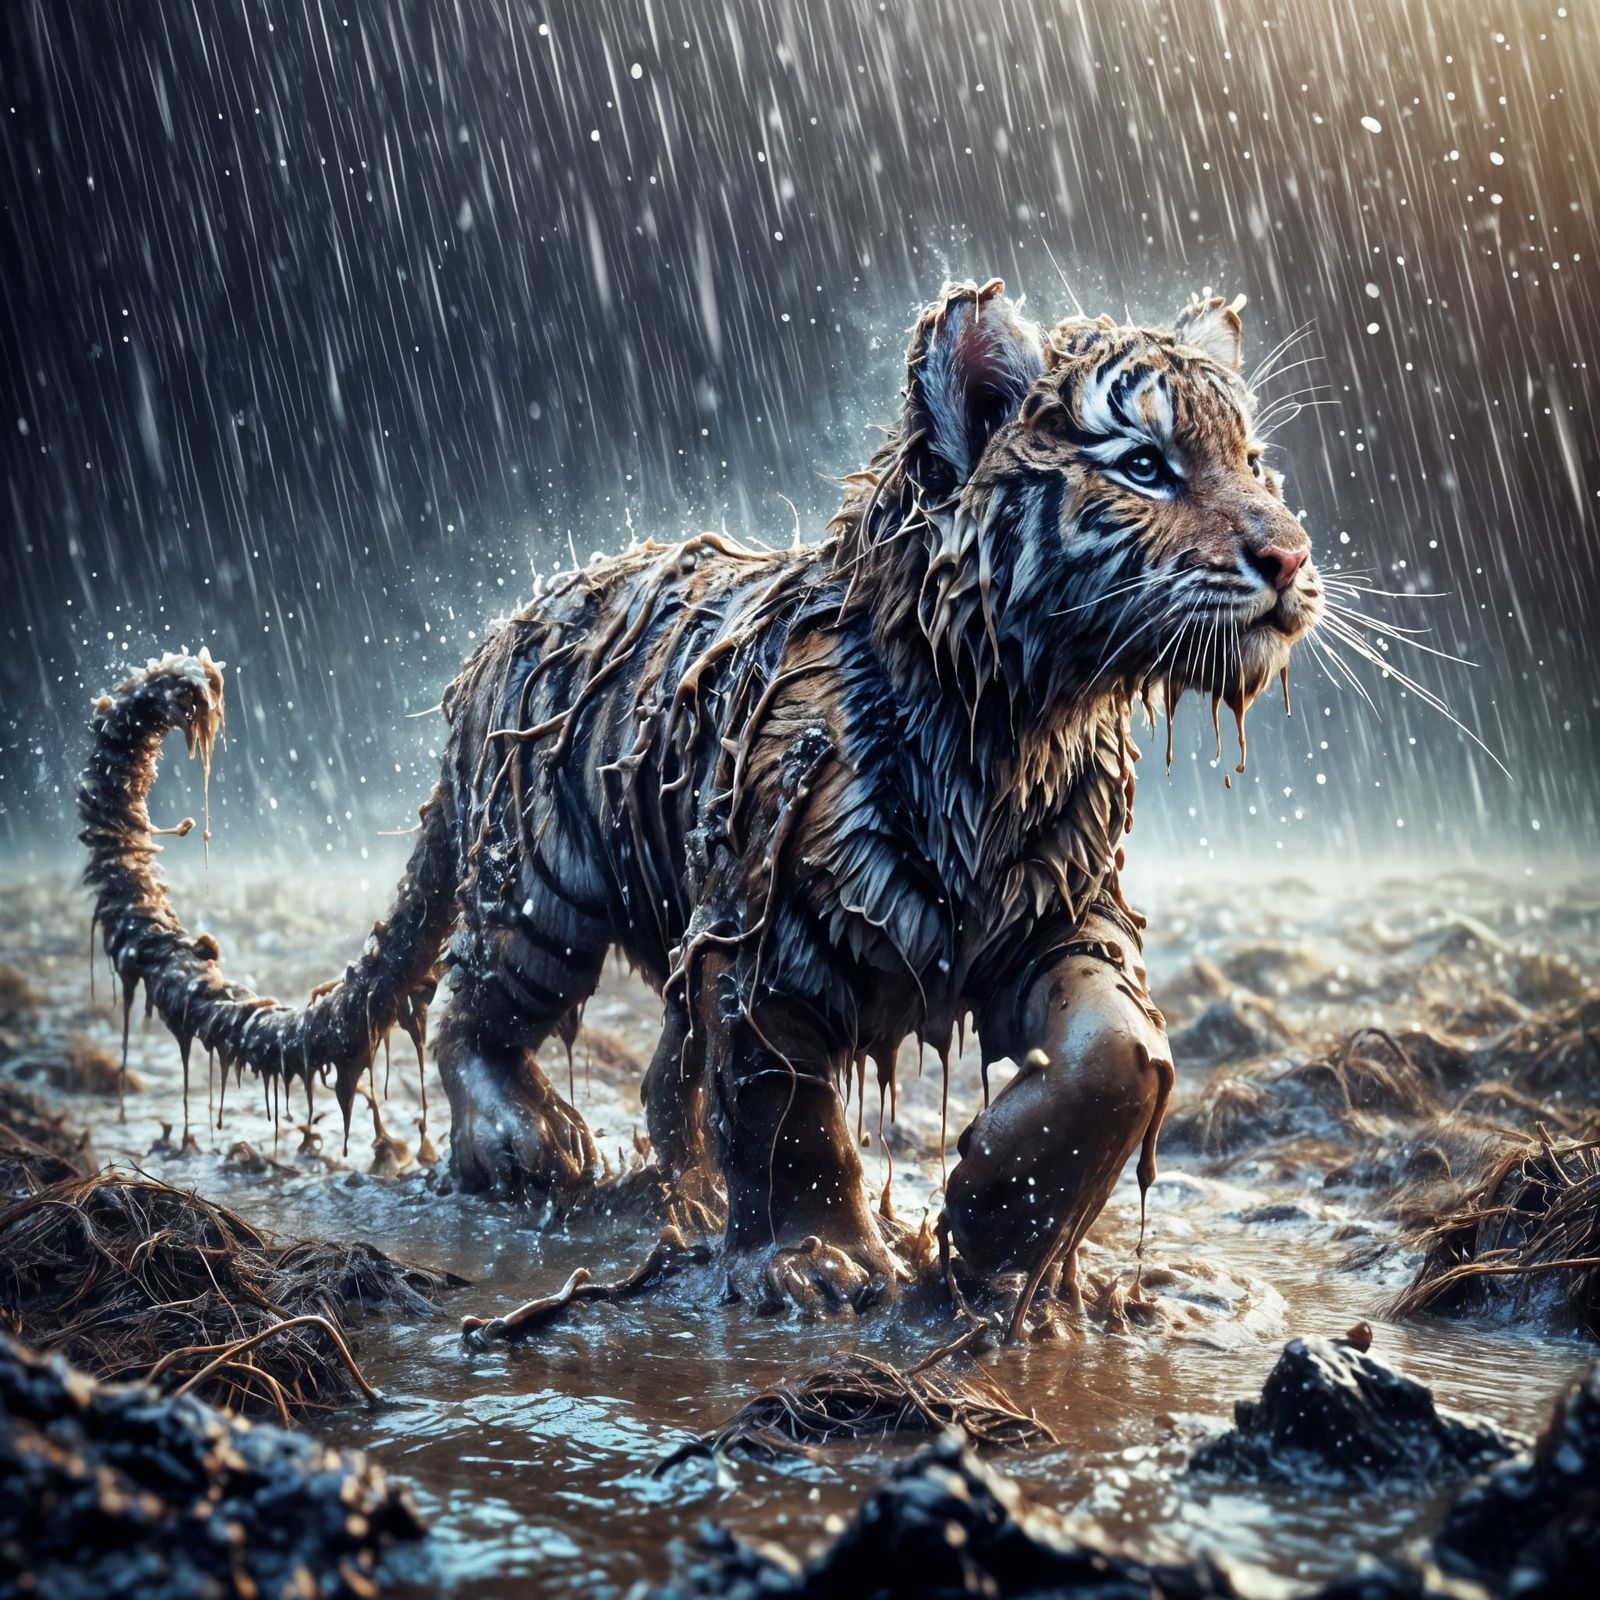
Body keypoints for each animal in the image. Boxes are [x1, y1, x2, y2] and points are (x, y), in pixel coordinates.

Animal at [80, 278, 1323, 1319]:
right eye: (1145, 464)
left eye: (1253, 459)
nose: (1289, 556)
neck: (1015, 725)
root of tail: (492, 646)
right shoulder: (769, 947)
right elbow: (789, 1118)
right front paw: (821, 1263)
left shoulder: (1062, 919)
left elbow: (1119, 1054)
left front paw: (1003, 1231)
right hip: (542, 898)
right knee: (468, 1009)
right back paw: (530, 1144)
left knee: (658, 1076)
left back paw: (683, 1196)